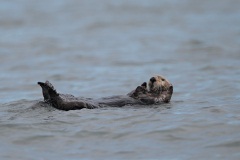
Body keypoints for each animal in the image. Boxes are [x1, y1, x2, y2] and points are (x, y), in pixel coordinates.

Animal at [37, 74, 172, 110]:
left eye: (162, 79)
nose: (152, 79)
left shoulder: (154, 99)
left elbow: (141, 95)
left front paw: (142, 87)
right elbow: (130, 93)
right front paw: (142, 84)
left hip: (78, 104)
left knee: (59, 102)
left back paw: (48, 88)